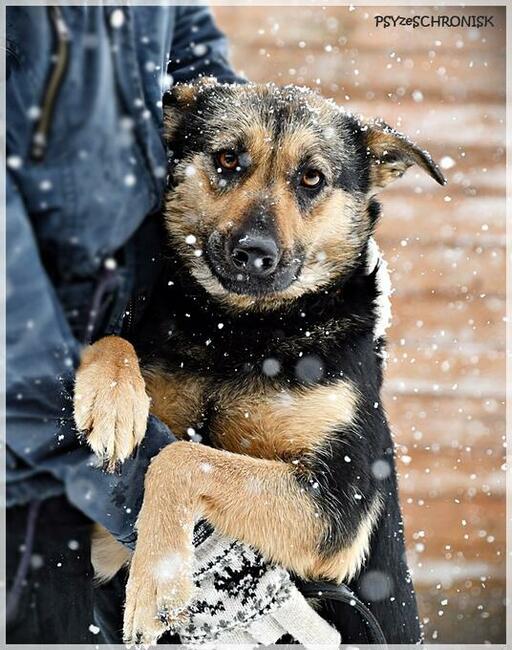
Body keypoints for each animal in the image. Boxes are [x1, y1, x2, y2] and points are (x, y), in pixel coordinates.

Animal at [74, 79, 446, 644]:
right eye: (228, 159)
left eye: (312, 178)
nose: (254, 252)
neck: (241, 335)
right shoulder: (105, 542)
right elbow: (115, 340)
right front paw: (111, 401)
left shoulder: (336, 503)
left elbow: (183, 458)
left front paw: (156, 579)